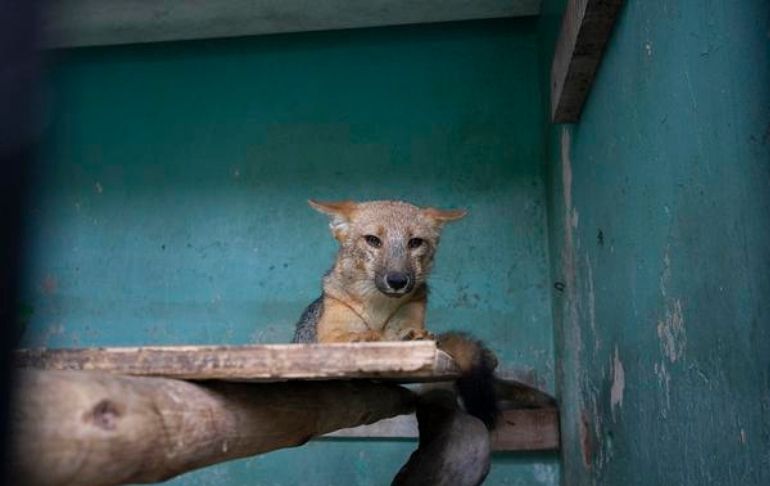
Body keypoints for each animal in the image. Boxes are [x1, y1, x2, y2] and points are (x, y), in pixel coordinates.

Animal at [290, 199, 498, 428]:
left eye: (415, 242)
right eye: (373, 240)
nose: (397, 280)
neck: (378, 309)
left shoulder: (407, 323)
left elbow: (405, 334)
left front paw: (415, 337)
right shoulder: (329, 337)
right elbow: (357, 336)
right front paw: (366, 337)